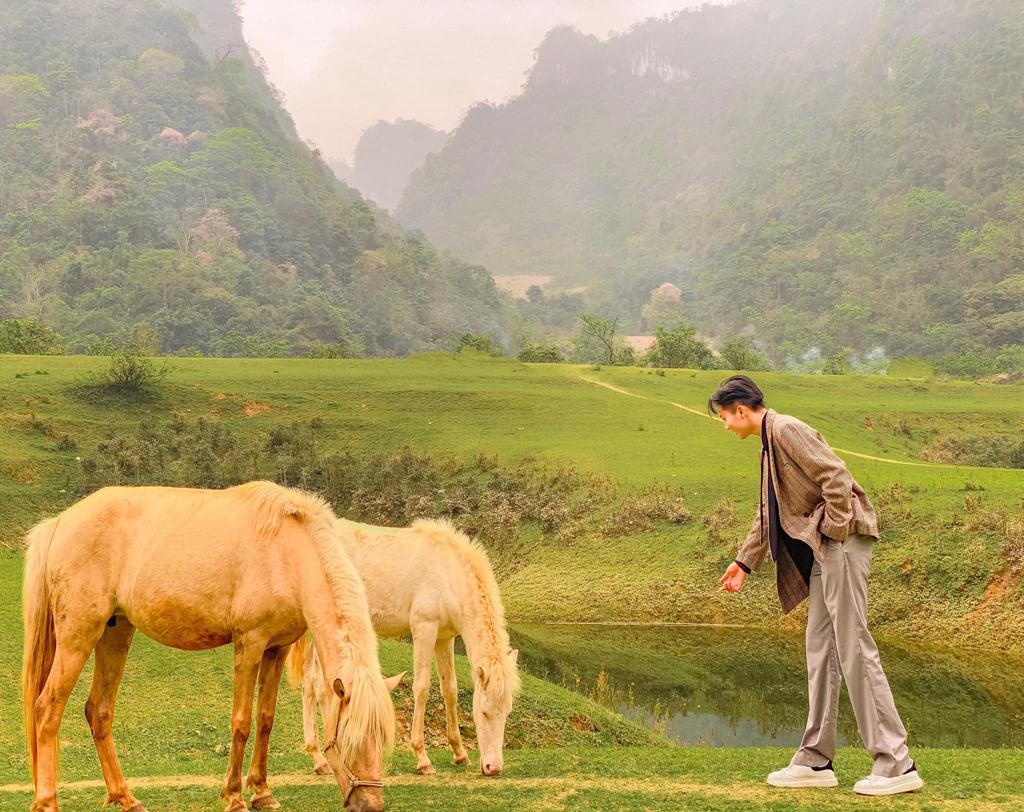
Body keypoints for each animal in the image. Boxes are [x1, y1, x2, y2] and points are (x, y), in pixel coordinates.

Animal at [20, 481, 399, 810]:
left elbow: (265, 719)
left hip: (116, 632)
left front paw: (262, 792)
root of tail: (59, 523)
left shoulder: (276, 648)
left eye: (381, 741)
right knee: (47, 709)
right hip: (79, 634)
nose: (372, 805)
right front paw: (233, 796)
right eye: (350, 743)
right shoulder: (249, 643)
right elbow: (242, 722)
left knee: (98, 710)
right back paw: (47, 801)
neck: (286, 550)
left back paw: (125, 798)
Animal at [292, 516, 524, 774]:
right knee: (318, 685)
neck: (447, 572)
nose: (493, 767)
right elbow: (421, 688)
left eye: (507, 711)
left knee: (310, 683)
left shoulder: (444, 639)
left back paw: (318, 758)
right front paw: (422, 757)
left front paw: (459, 753)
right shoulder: (424, 629)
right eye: (484, 711)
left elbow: (450, 690)